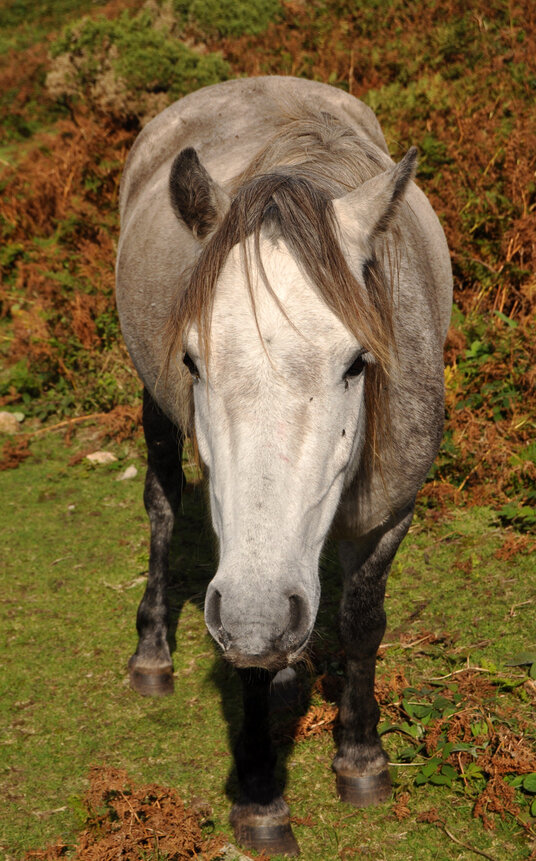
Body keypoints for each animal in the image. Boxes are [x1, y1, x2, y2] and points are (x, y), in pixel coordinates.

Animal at [116, 76, 452, 856]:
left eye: (357, 362)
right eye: (193, 360)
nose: (262, 614)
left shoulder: (391, 513)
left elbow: (361, 619)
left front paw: (361, 758)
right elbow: (245, 652)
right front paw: (262, 798)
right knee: (162, 506)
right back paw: (153, 653)